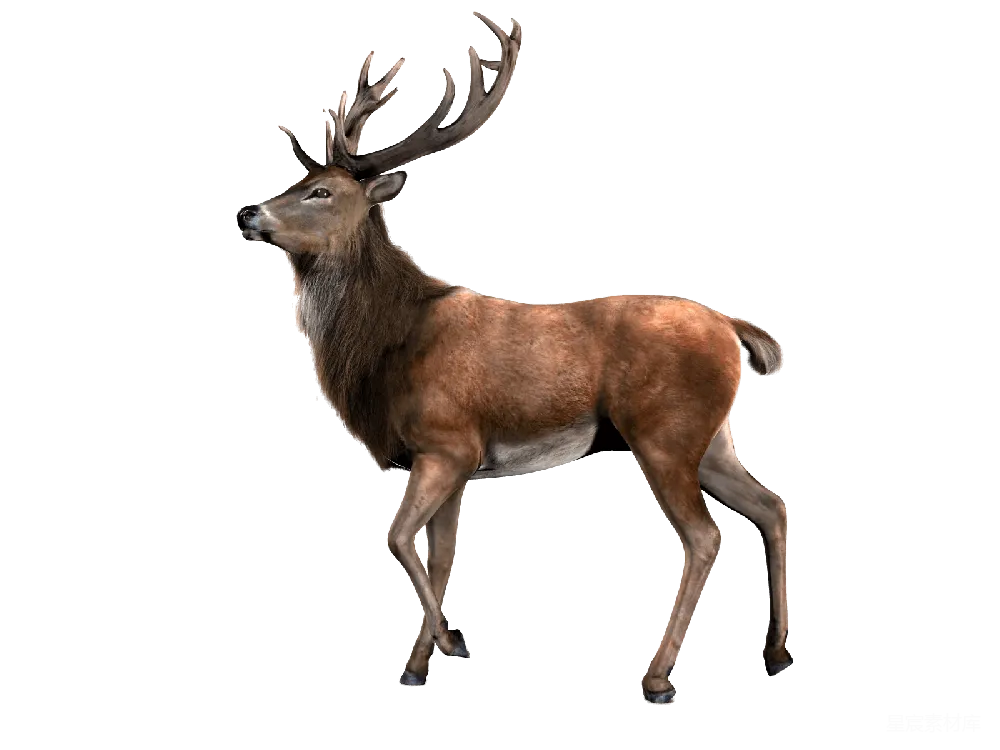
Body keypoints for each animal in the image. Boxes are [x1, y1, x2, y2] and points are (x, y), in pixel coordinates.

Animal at [238, 10, 791, 705]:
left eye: (321, 192)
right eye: (296, 181)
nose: (247, 213)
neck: (387, 348)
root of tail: (732, 328)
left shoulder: (448, 441)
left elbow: (396, 538)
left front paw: (451, 643)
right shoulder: (453, 460)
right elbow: (439, 556)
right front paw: (418, 663)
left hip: (664, 431)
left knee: (705, 535)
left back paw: (658, 676)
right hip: (714, 437)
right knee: (773, 506)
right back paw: (777, 652)